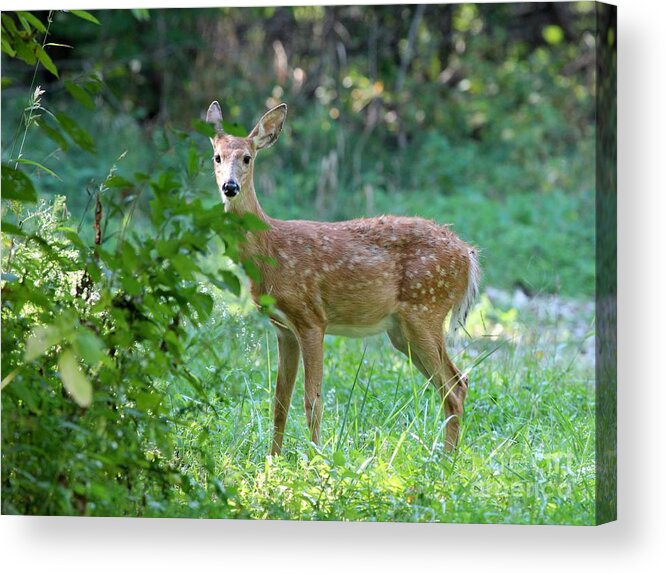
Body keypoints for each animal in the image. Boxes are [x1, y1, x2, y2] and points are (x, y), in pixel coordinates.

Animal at [205, 101, 480, 456]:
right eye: (217, 157)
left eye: (247, 158)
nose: (230, 187)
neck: (271, 250)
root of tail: (469, 256)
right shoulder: (283, 328)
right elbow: (280, 401)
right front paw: (273, 459)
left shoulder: (311, 318)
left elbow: (312, 400)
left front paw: (314, 457)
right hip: (401, 330)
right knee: (458, 383)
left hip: (426, 308)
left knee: (454, 387)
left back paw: (445, 460)